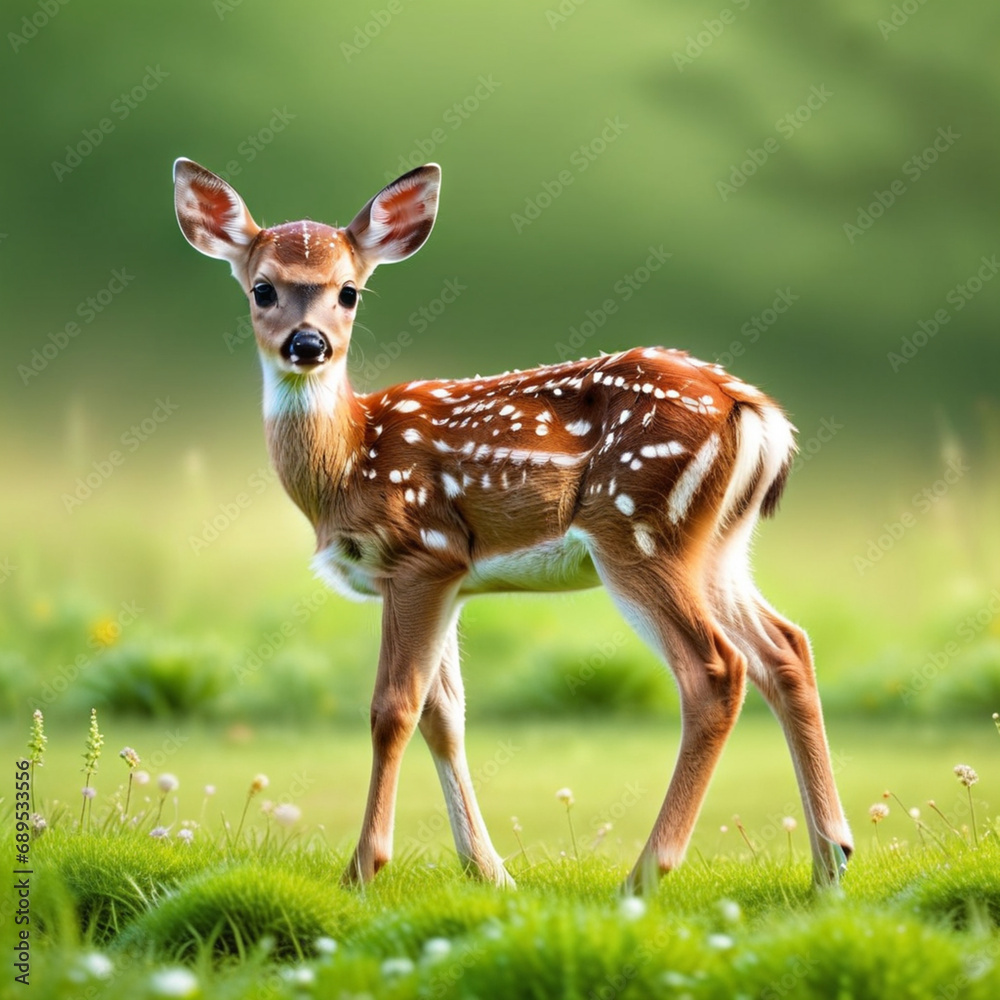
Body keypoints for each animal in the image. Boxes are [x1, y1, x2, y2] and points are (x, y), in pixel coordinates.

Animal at [173, 157, 853, 892]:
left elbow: (393, 709)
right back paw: (829, 863)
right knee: (787, 648)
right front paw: (489, 872)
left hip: (639, 532)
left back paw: (646, 873)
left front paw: (362, 870)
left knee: (717, 670)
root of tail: (754, 410)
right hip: (719, 546)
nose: (308, 343)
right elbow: (445, 715)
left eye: (349, 292)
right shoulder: (446, 579)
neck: (350, 458)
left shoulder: (419, 555)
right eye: (262, 288)